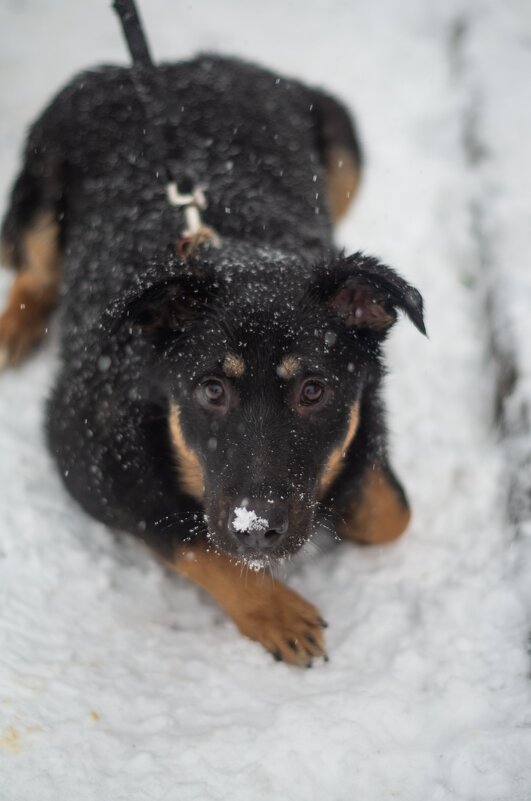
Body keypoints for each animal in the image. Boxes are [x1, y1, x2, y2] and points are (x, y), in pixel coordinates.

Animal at [0, 56, 424, 664]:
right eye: (211, 390)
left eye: (314, 391)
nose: (258, 528)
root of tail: (170, 66)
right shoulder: (82, 450)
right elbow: (189, 540)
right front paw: (274, 610)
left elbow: (391, 511)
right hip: (42, 170)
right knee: (32, 266)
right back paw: (13, 328)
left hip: (343, 141)